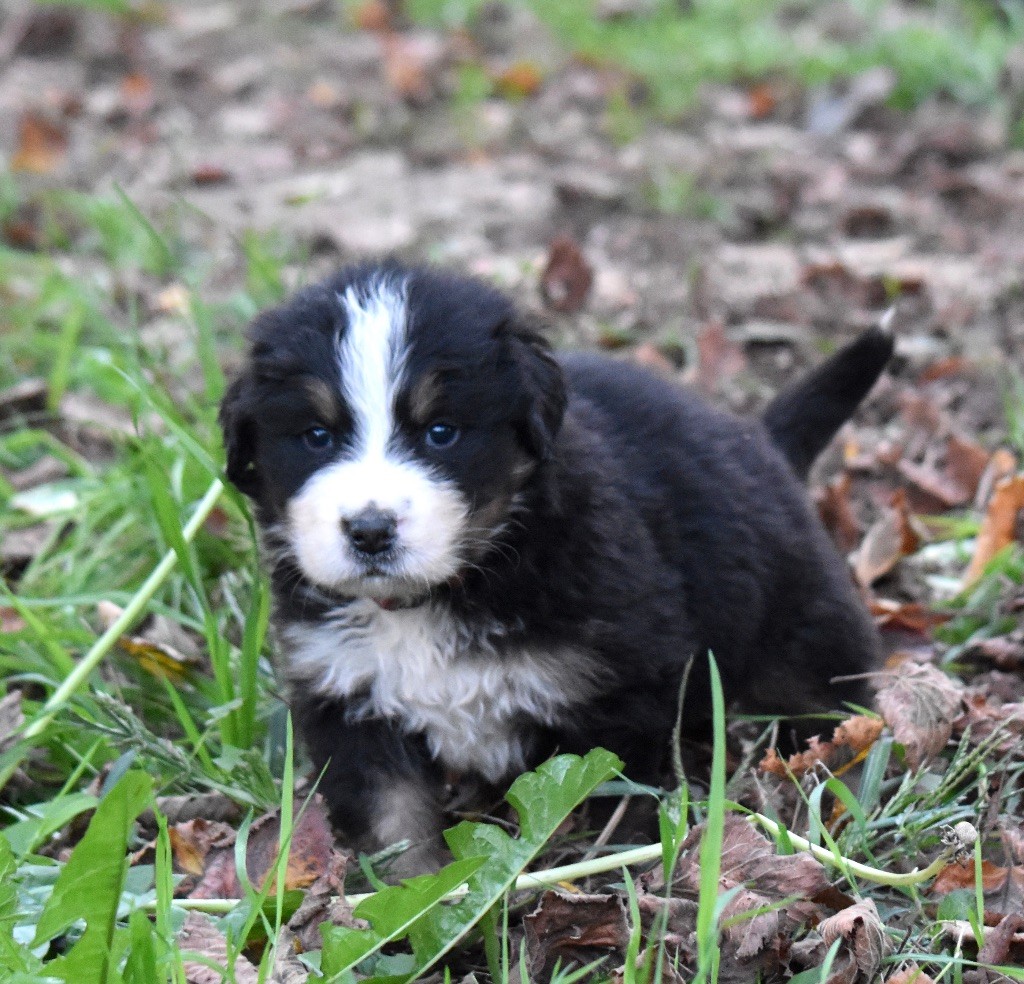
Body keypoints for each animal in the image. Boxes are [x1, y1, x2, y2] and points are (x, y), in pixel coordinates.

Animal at [220, 261, 892, 868]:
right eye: (316, 436)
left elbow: (613, 800)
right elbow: (395, 825)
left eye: (441, 432)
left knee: (836, 707)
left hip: (798, 635)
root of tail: (760, 438)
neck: (438, 595)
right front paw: (414, 903)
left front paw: (609, 873)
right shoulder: (349, 698)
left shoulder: (620, 690)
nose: (369, 531)